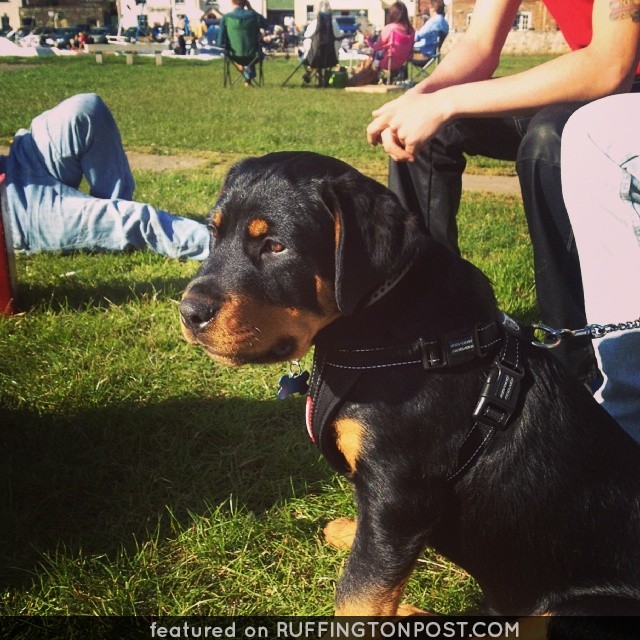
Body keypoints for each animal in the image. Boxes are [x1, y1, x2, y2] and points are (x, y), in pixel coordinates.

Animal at [178, 151, 640, 620]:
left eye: (276, 246)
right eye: (213, 233)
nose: (189, 311)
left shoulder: (398, 493)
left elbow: (358, 594)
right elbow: (370, 570)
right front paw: (351, 533)